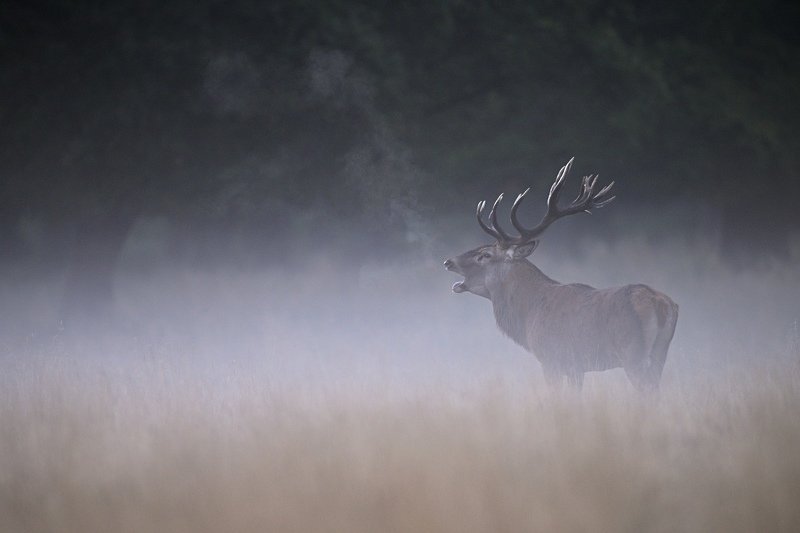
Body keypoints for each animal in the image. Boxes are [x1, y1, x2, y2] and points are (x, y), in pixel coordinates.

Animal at [444, 158, 678, 391]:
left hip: (632, 353)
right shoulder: (577, 367)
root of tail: (662, 305)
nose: (448, 262)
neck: (528, 315)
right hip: (660, 354)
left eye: (485, 255)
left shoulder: (551, 358)